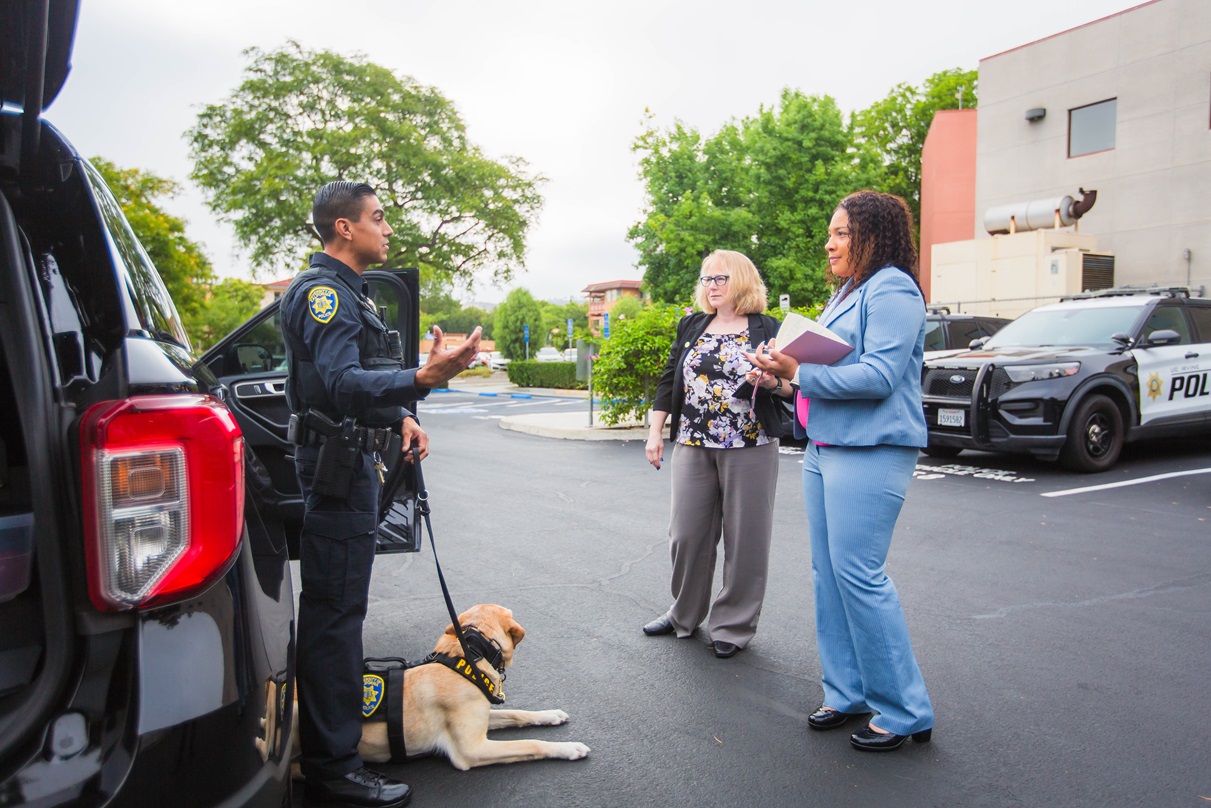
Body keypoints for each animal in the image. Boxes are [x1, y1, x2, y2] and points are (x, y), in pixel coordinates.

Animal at [279, 605, 590, 770]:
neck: (469, 656)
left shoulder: (482, 718)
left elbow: (517, 714)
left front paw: (550, 715)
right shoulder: (471, 749)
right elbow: (531, 743)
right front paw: (569, 748)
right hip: (292, 713)